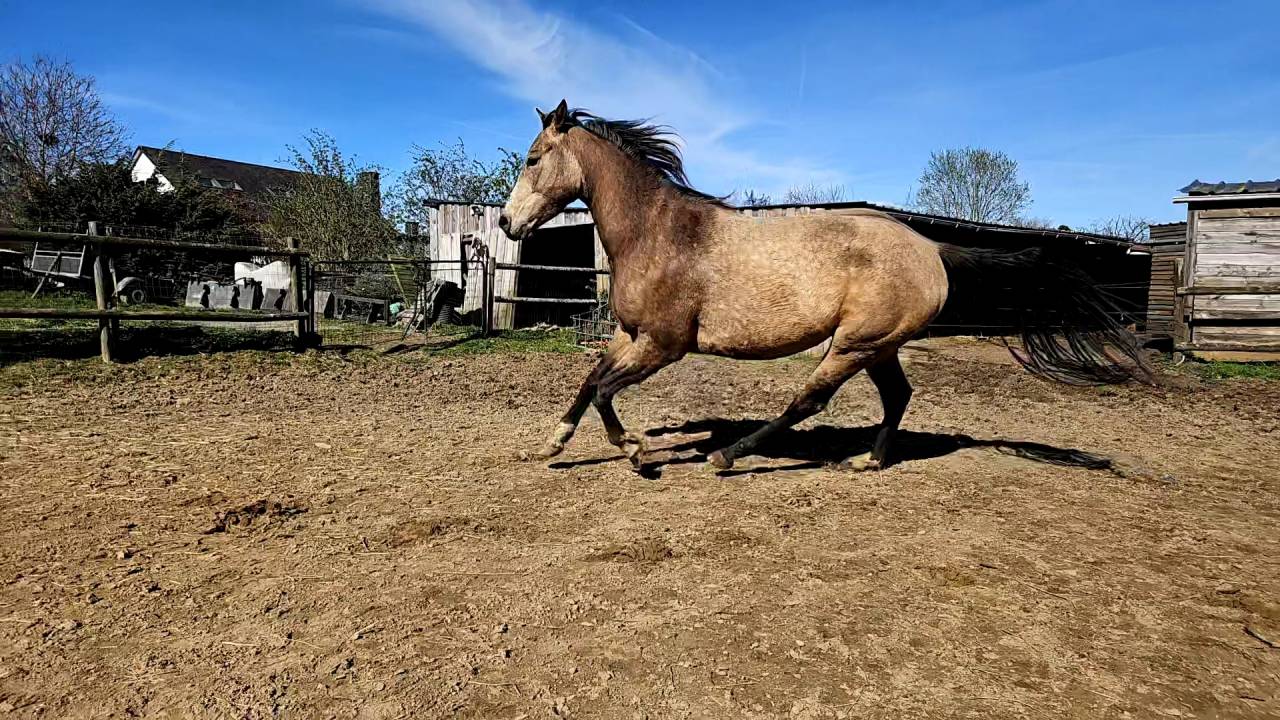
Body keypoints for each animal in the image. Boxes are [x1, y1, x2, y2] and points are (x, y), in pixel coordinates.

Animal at [499, 100, 1147, 473]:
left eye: (532, 158)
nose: (506, 223)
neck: (660, 234)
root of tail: (932, 248)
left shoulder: (663, 344)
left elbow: (607, 391)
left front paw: (636, 452)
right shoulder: (629, 334)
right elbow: (591, 379)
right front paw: (553, 445)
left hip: (853, 344)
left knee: (809, 400)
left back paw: (728, 457)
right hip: (878, 346)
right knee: (897, 397)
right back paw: (868, 462)